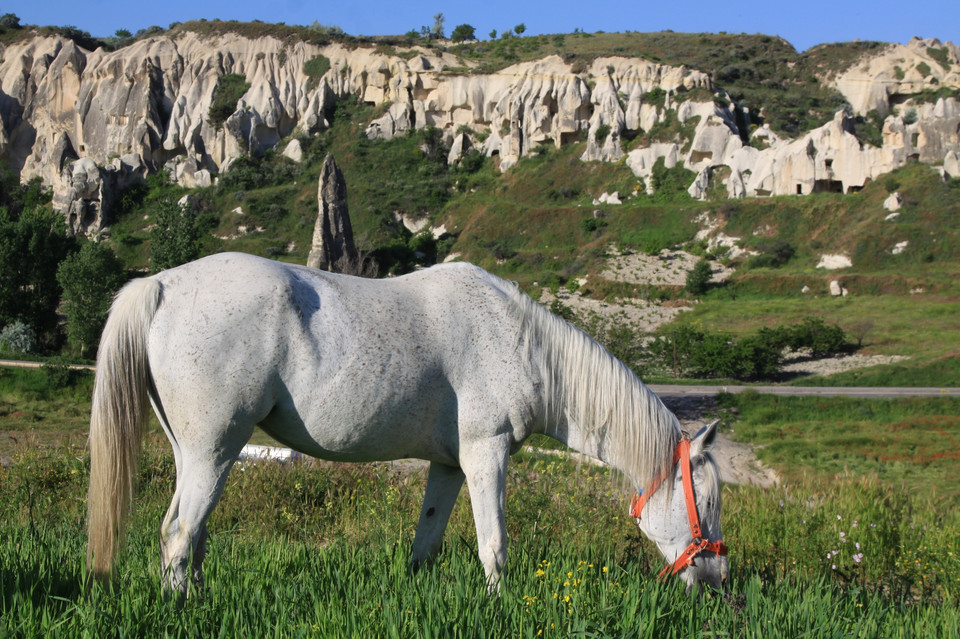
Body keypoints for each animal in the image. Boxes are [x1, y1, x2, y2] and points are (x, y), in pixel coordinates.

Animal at [88, 252, 728, 596]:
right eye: (707, 500)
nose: (718, 577)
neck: (520, 342)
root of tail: (162, 285)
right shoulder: (485, 455)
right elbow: (494, 544)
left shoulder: (448, 466)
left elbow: (427, 542)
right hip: (214, 450)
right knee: (179, 535)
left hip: (195, 453)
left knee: (184, 534)